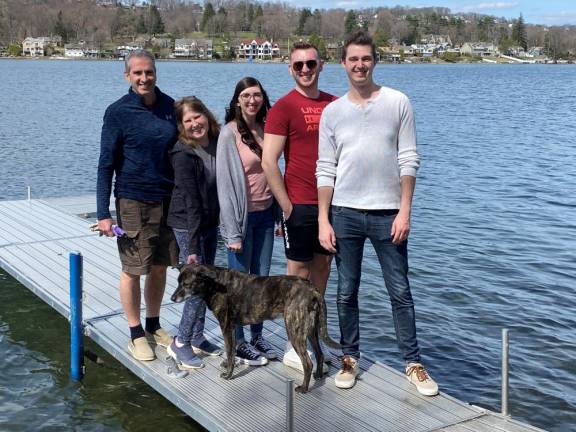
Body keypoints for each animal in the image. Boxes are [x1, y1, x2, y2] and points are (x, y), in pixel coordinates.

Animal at [171, 264, 342, 394]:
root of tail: (313, 290)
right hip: (311, 330)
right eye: (178, 282)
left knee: (308, 363)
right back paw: (318, 376)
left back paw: (304, 388)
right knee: (319, 354)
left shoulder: (226, 326)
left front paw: (228, 374)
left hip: (295, 331)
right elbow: (232, 351)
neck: (214, 283)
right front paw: (228, 365)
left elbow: (230, 351)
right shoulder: (233, 327)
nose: (172, 298)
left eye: (186, 284)